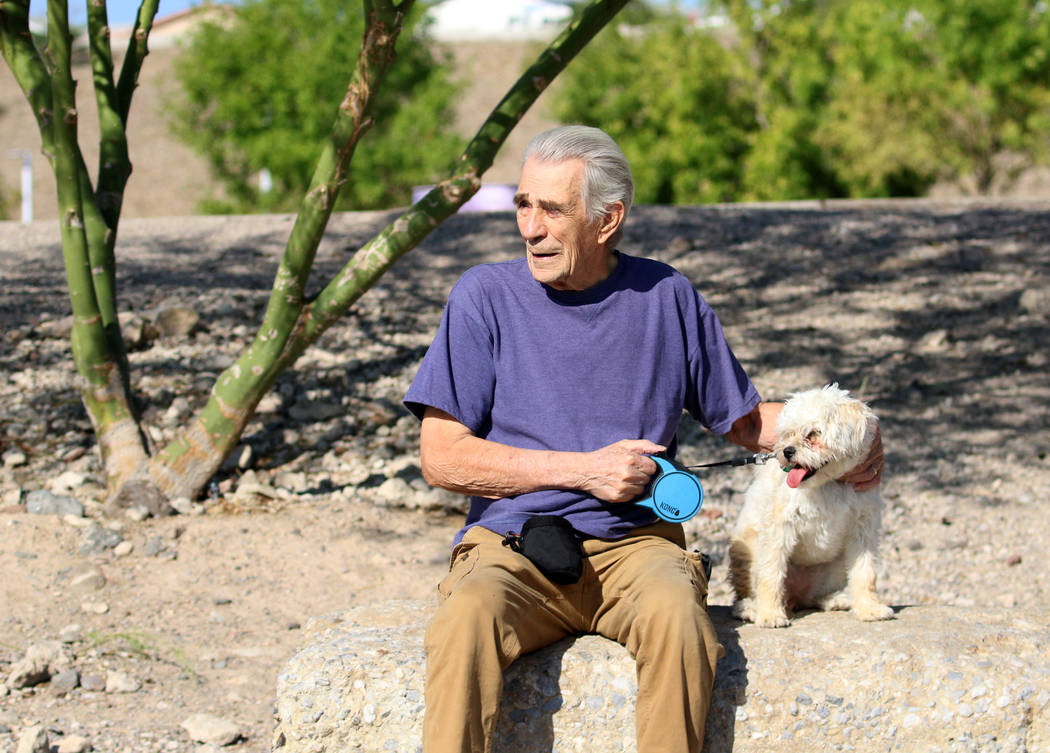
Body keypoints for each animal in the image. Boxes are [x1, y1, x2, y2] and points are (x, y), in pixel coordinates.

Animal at [730, 384, 894, 625]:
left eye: (813, 434)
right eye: (789, 433)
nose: (787, 451)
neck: (828, 483)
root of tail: (795, 595)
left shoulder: (863, 527)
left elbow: (865, 573)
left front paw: (869, 608)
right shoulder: (779, 525)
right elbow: (771, 572)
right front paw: (769, 614)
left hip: (834, 568)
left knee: (811, 597)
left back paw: (833, 599)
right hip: (747, 551)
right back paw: (750, 608)